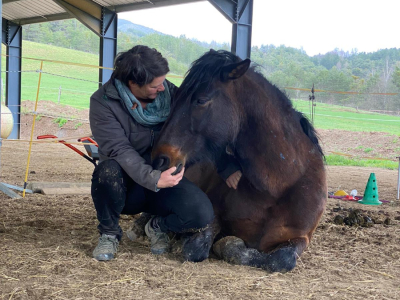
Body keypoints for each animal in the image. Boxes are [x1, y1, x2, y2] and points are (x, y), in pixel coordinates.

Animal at [147, 49, 324, 274]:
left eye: (201, 100)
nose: (159, 158)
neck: (278, 186)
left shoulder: (301, 237)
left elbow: (281, 260)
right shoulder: (214, 214)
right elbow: (197, 248)